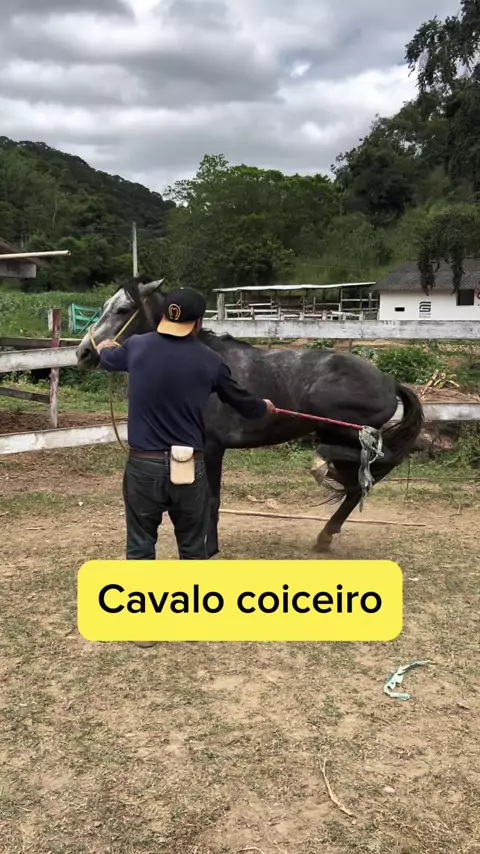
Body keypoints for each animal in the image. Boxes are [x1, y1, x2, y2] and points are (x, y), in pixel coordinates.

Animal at [76, 275, 424, 557]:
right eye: (105, 306)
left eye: (123, 310)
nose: (84, 353)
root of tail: (389, 381)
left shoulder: (212, 447)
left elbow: (210, 500)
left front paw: (209, 549)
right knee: (361, 480)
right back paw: (325, 532)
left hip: (338, 426)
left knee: (374, 462)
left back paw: (322, 469)